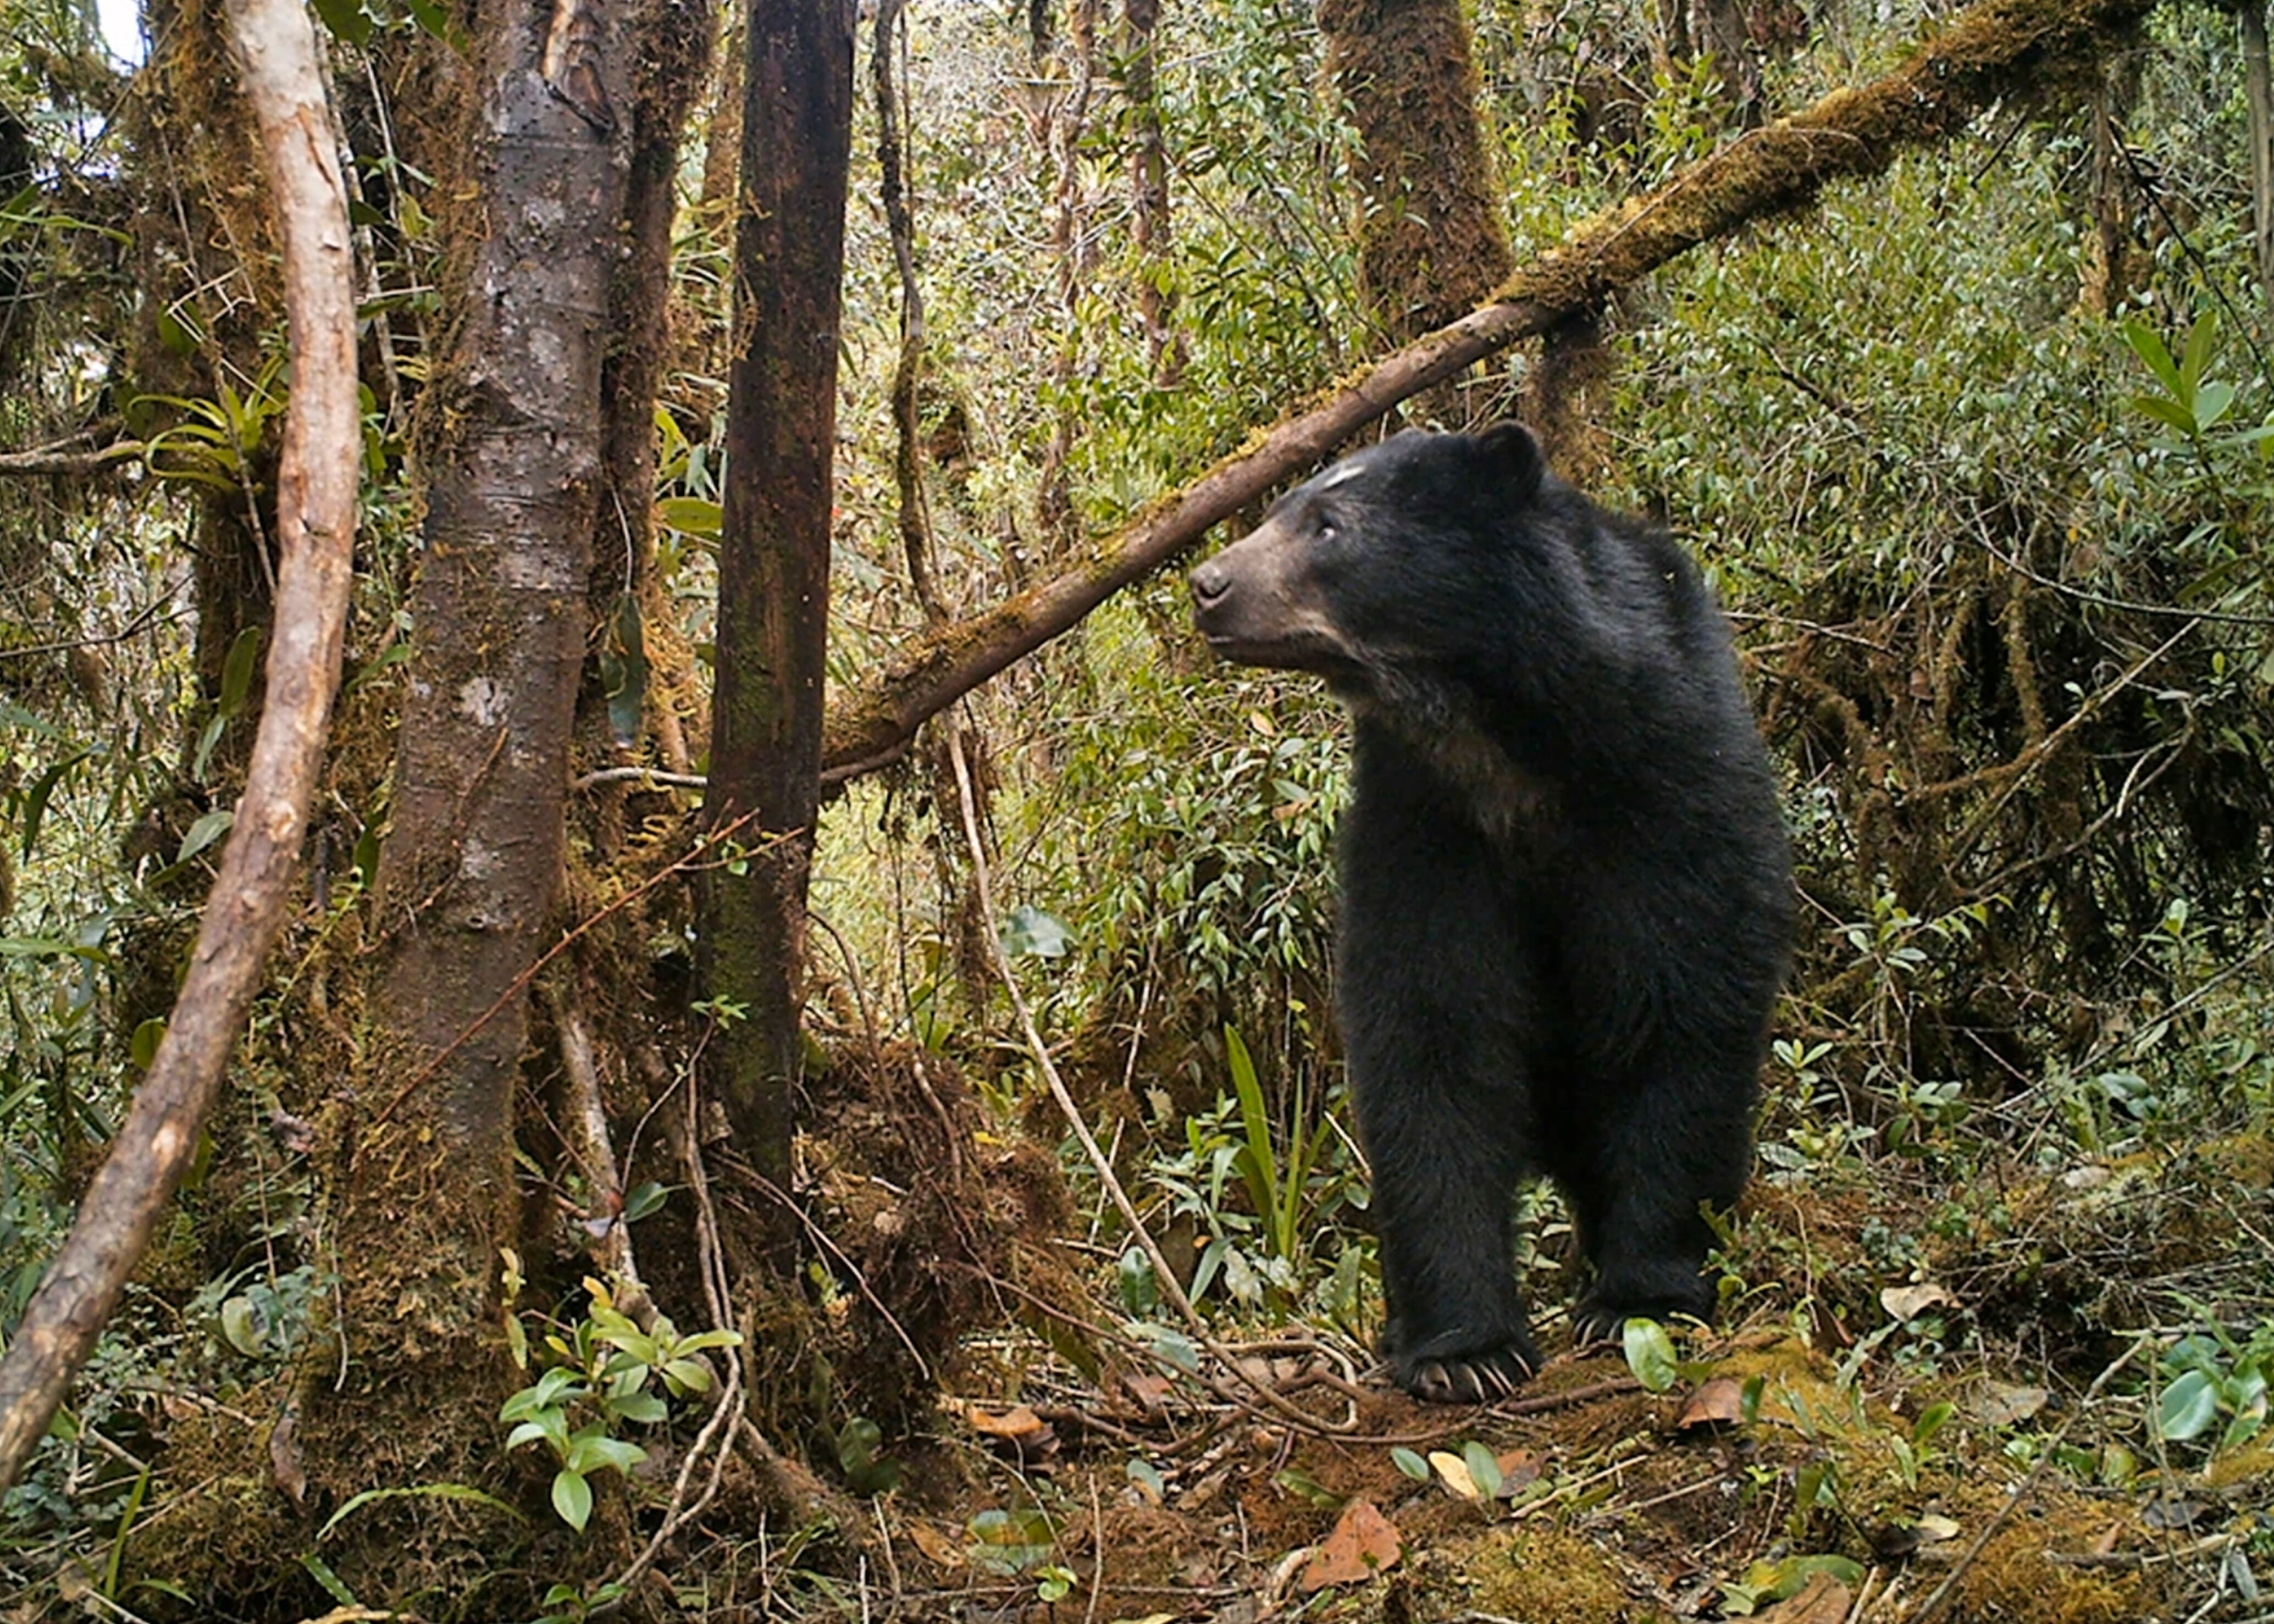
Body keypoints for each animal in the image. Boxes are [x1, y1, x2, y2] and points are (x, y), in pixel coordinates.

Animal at [1188, 422, 1792, 1404]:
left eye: (1329, 528)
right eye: (1282, 509)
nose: (1208, 587)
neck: (1500, 733)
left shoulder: (1668, 779)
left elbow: (1677, 1005)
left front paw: (1641, 1298)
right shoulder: (1424, 818)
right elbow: (1433, 1035)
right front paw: (1464, 1349)